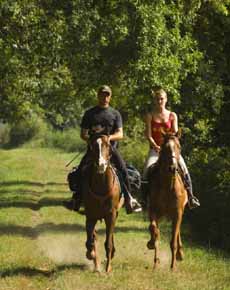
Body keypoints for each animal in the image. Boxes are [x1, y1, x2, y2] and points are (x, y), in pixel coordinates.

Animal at [82, 135, 123, 274]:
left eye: (107, 145)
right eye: (94, 146)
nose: (101, 165)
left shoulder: (111, 215)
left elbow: (108, 243)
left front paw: (108, 268)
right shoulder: (90, 215)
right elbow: (90, 240)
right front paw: (91, 255)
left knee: (110, 235)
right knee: (94, 236)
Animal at [146, 133, 188, 270]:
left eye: (179, 147)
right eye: (165, 148)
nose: (173, 168)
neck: (167, 185)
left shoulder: (177, 213)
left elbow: (173, 240)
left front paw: (173, 267)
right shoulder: (153, 210)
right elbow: (154, 229)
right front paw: (155, 261)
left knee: (178, 231)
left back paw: (180, 254)